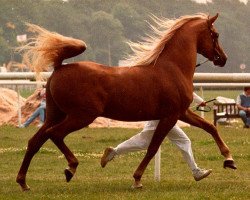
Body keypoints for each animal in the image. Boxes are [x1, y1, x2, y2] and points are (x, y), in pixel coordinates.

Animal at [16, 12, 235, 191]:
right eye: (215, 35)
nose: (223, 58)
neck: (173, 68)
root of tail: (59, 67)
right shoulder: (170, 116)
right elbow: (152, 148)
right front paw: (137, 179)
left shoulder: (181, 113)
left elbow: (210, 127)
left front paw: (228, 160)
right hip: (81, 116)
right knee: (55, 134)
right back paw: (71, 167)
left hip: (55, 115)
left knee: (35, 141)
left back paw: (23, 182)